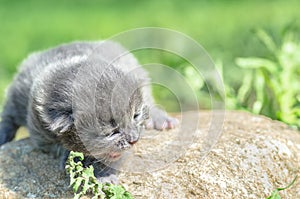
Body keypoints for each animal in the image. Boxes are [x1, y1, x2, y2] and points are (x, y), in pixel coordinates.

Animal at [0, 40, 178, 183]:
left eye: (135, 116)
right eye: (111, 132)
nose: (134, 140)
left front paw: (103, 175)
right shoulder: (39, 129)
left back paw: (161, 119)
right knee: (9, 113)